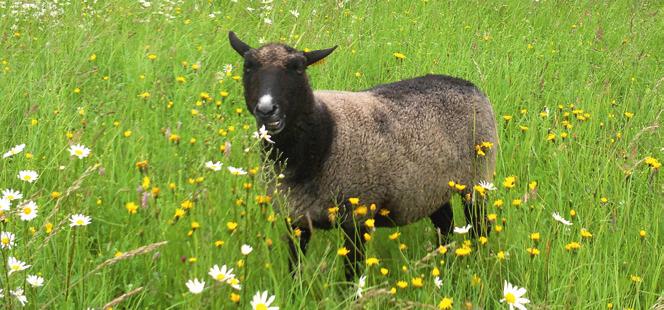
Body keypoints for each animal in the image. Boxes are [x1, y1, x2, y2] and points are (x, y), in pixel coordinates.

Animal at [228, 32, 498, 280]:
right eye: (248, 66)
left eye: (298, 69)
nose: (267, 110)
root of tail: (467, 84)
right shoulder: (296, 219)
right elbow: (295, 270)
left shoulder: (357, 217)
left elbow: (351, 275)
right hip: (431, 187)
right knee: (446, 226)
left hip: (477, 179)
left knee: (480, 227)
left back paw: (478, 263)